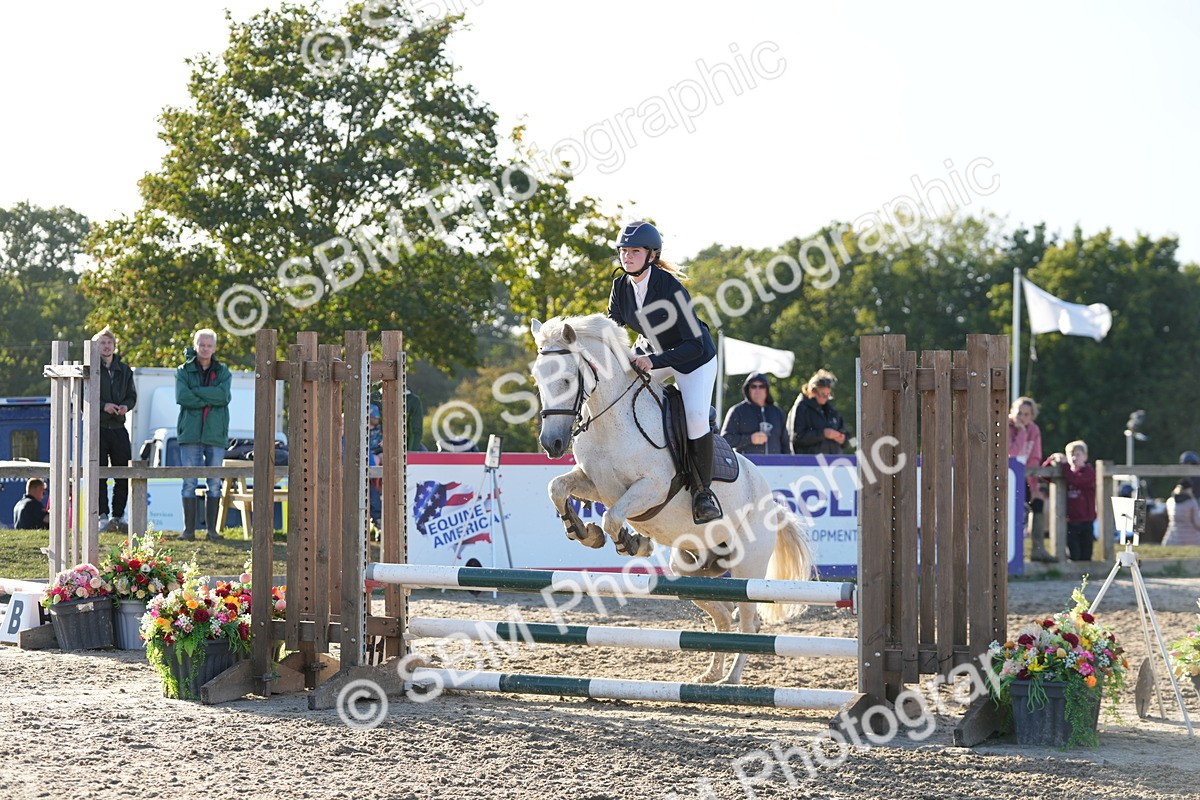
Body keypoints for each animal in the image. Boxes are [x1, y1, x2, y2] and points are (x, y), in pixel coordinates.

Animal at [530, 314, 816, 685]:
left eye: (566, 379)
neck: (612, 420)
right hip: (687, 566)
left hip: (747, 566)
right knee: (723, 614)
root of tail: (774, 506)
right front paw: (583, 532)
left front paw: (631, 542)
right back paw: (711, 674)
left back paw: (731, 678)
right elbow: (557, 488)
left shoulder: (651, 488)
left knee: (748, 621)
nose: (551, 444)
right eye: (538, 379)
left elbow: (612, 516)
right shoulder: (595, 483)